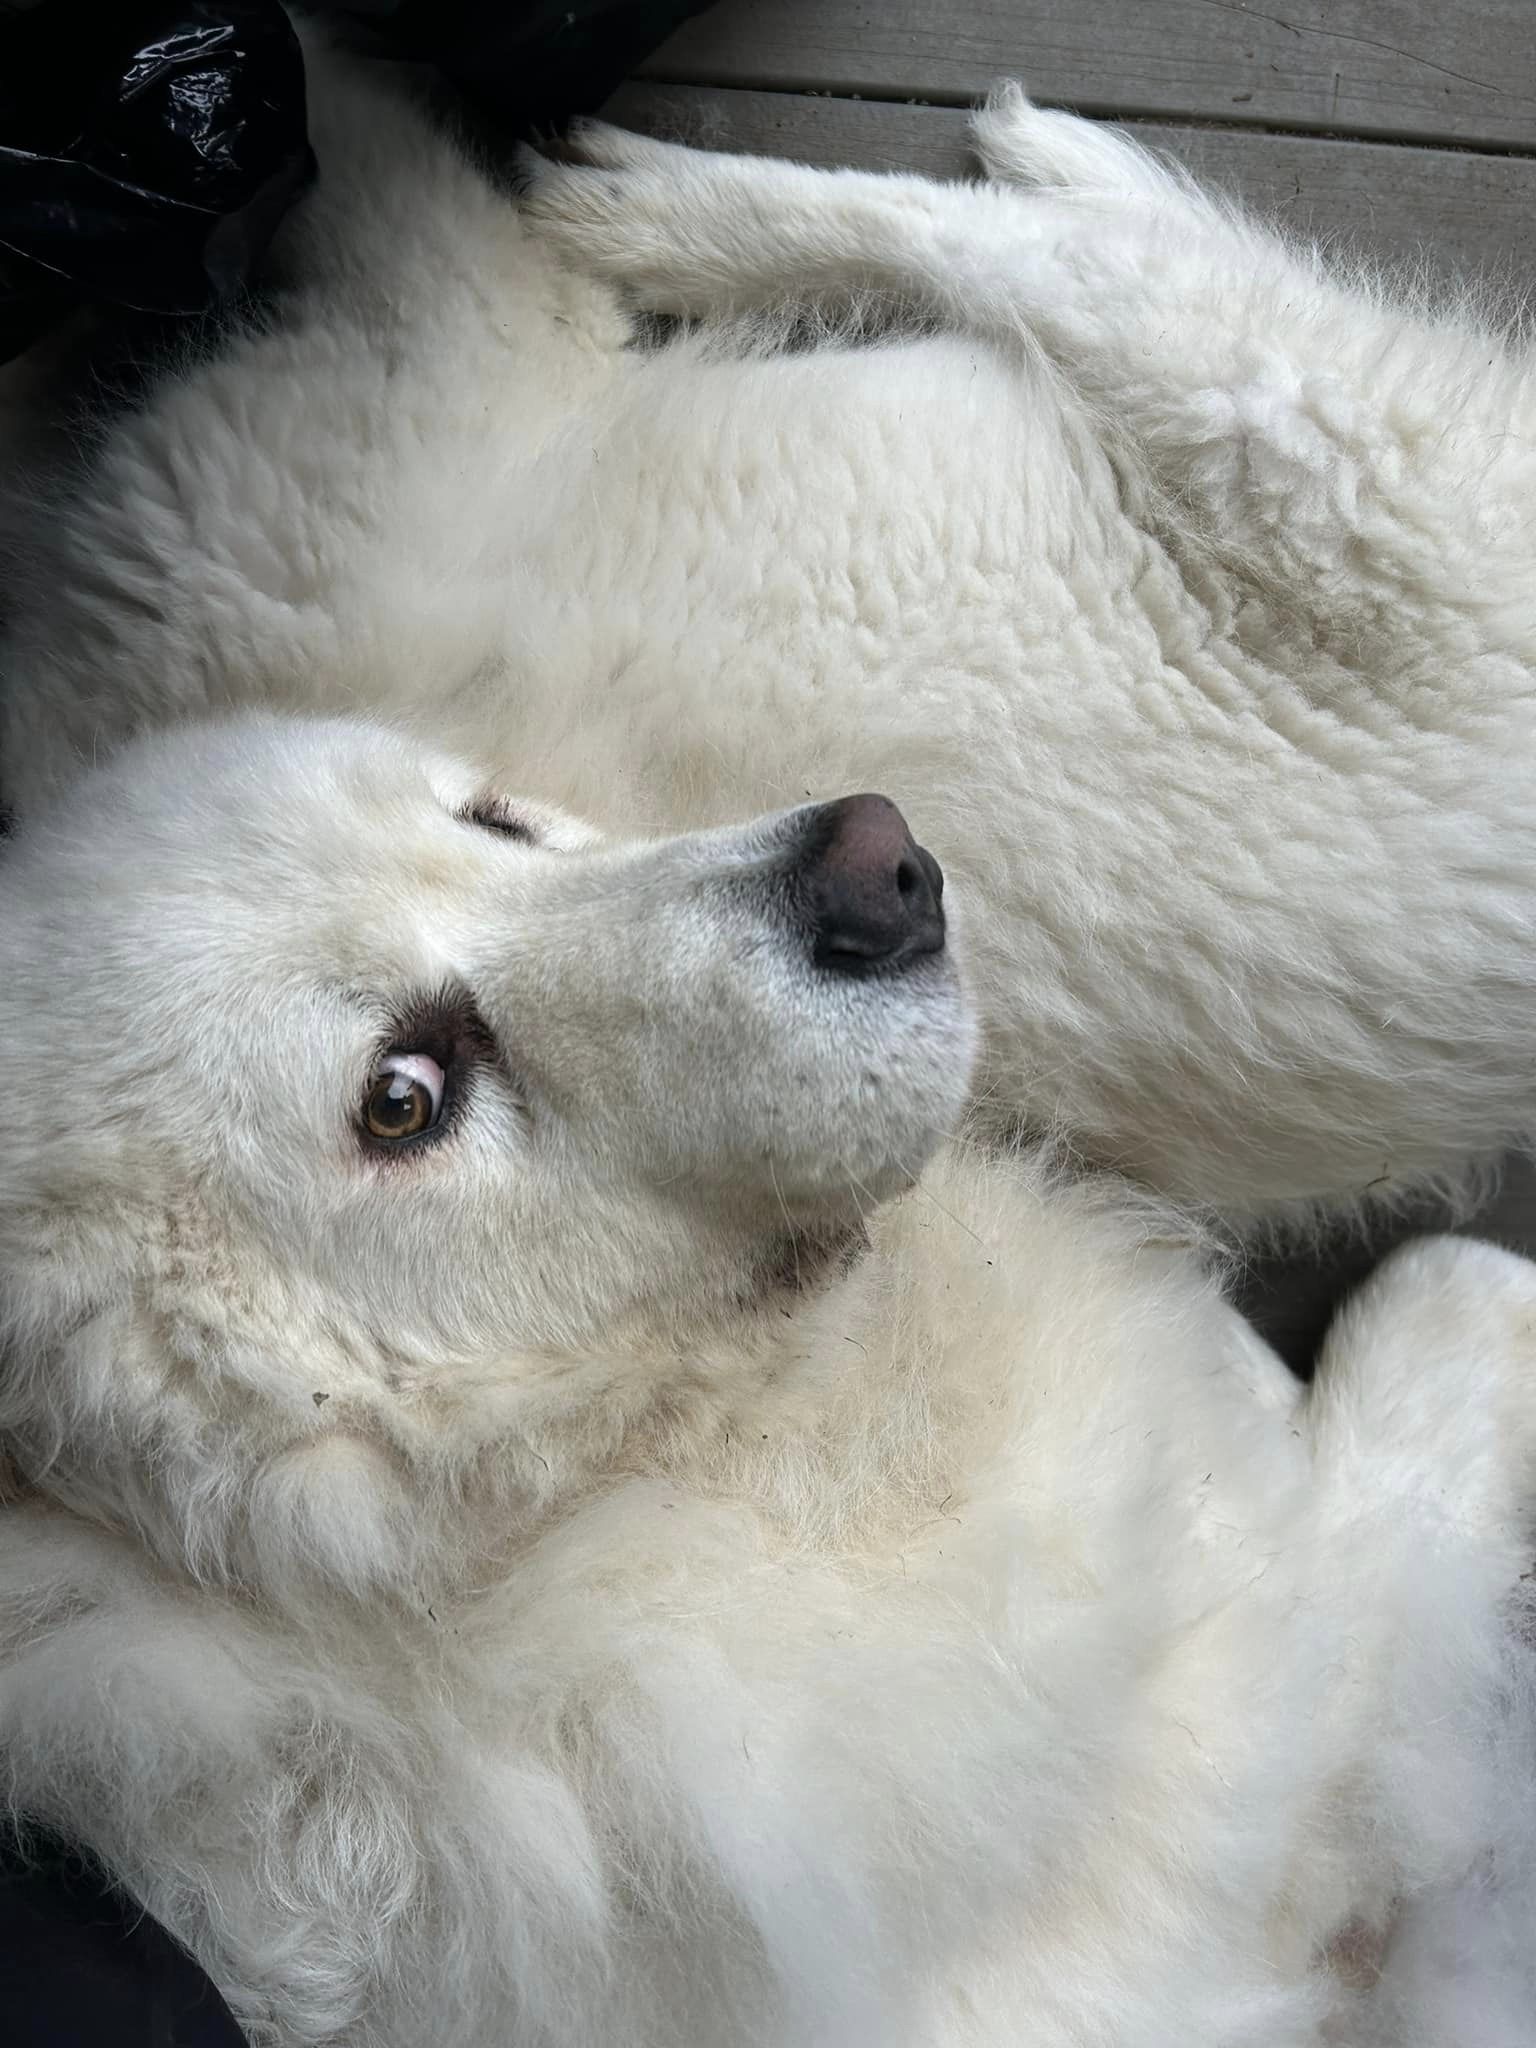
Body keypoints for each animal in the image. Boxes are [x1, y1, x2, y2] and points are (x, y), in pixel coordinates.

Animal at [2, 36, 1536, 2045]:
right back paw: (813, 182)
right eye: (404, 1102)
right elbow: (1423, 1358)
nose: (880, 866)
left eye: (498, 822)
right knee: (1125, 279)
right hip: (1366, 491)